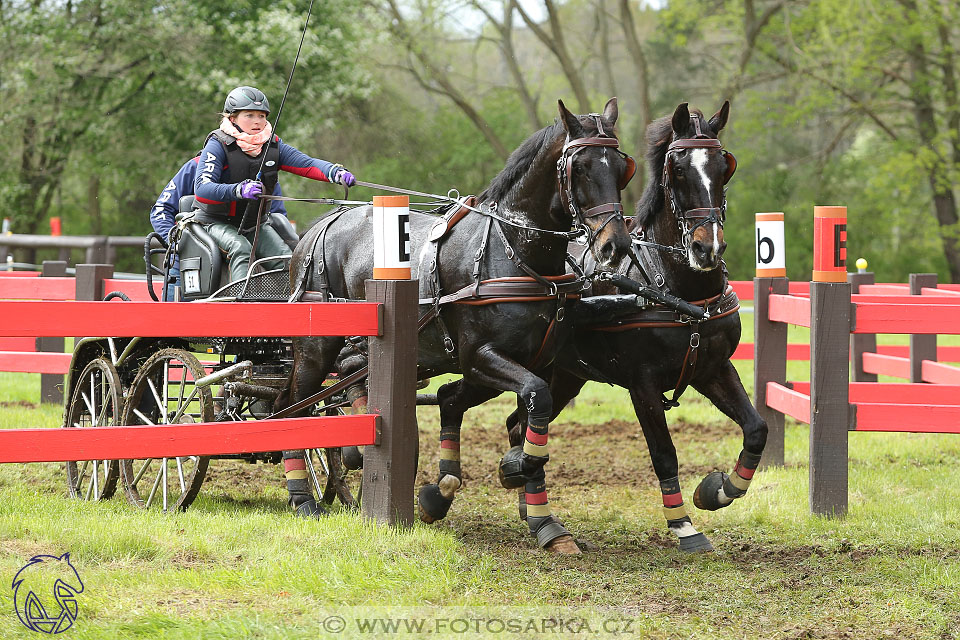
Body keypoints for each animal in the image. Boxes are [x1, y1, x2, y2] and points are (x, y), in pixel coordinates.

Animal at [276, 97, 636, 552]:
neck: (514, 249)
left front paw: (543, 519)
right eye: (582, 168)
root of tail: (319, 227)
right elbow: (534, 401)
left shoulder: (527, 363)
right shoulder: (480, 356)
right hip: (316, 345)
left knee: (356, 378)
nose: (615, 246)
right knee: (295, 406)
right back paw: (302, 498)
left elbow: (529, 414)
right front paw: (513, 469)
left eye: (622, 168)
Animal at [506, 102, 768, 552]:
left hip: (565, 375)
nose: (708, 248)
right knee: (517, 422)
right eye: (677, 169)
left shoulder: (713, 368)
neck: (677, 289)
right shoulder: (642, 384)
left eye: (724, 166)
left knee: (522, 425)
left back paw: (531, 505)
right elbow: (664, 453)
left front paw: (717, 490)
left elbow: (756, 429)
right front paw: (684, 526)